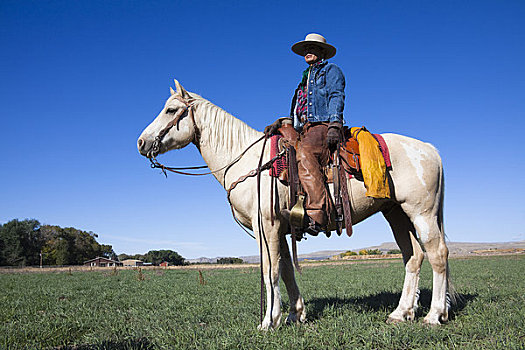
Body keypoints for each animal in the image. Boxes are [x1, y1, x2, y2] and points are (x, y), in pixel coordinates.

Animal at [137, 80, 452, 330]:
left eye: (170, 110)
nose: (141, 142)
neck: (249, 162)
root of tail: (429, 149)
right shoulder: (281, 228)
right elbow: (286, 269)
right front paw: (293, 315)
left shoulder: (266, 226)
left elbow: (270, 271)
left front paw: (268, 322)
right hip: (396, 213)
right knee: (413, 256)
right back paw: (401, 313)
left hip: (422, 212)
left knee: (437, 253)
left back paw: (433, 315)